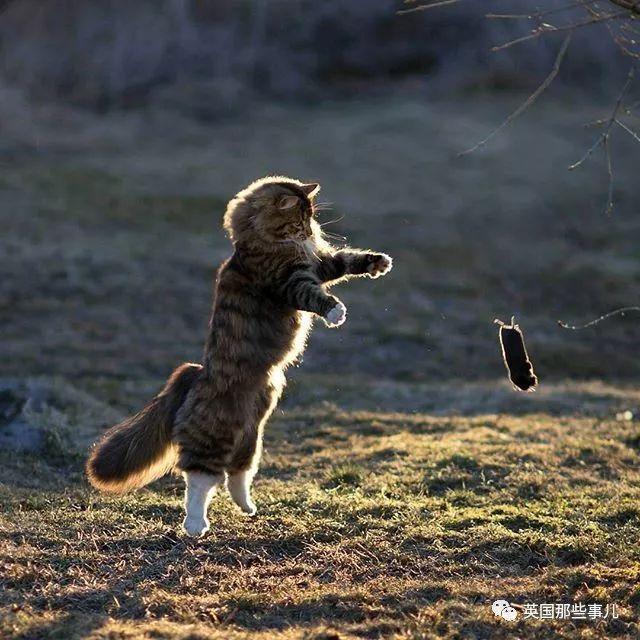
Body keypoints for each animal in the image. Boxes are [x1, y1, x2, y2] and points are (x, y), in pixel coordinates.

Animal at [87, 175, 392, 536]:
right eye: (300, 221)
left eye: (311, 219)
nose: (310, 233)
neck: (260, 241)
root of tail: (196, 373)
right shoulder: (289, 280)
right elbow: (316, 296)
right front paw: (336, 312)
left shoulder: (317, 265)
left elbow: (345, 260)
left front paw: (377, 262)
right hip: (215, 435)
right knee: (199, 479)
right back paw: (195, 525)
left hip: (251, 436)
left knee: (236, 475)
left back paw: (247, 508)